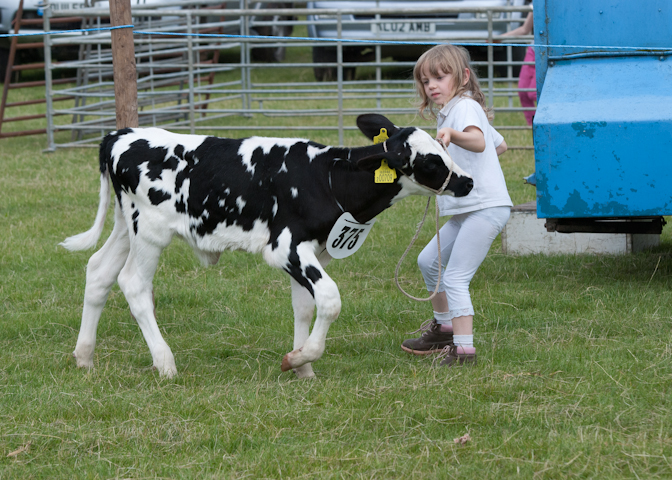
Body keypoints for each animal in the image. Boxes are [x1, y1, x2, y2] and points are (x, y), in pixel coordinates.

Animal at [63, 113, 472, 378]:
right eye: (430, 162)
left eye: (443, 146)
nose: (466, 181)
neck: (327, 177)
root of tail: (120, 135)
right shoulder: (286, 247)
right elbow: (329, 299)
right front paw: (300, 358)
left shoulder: (313, 251)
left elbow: (305, 306)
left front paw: (303, 367)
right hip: (149, 231)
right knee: (133, 284)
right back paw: (165, 363)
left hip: (124, 226)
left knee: (98, 272)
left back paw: (84, 356)